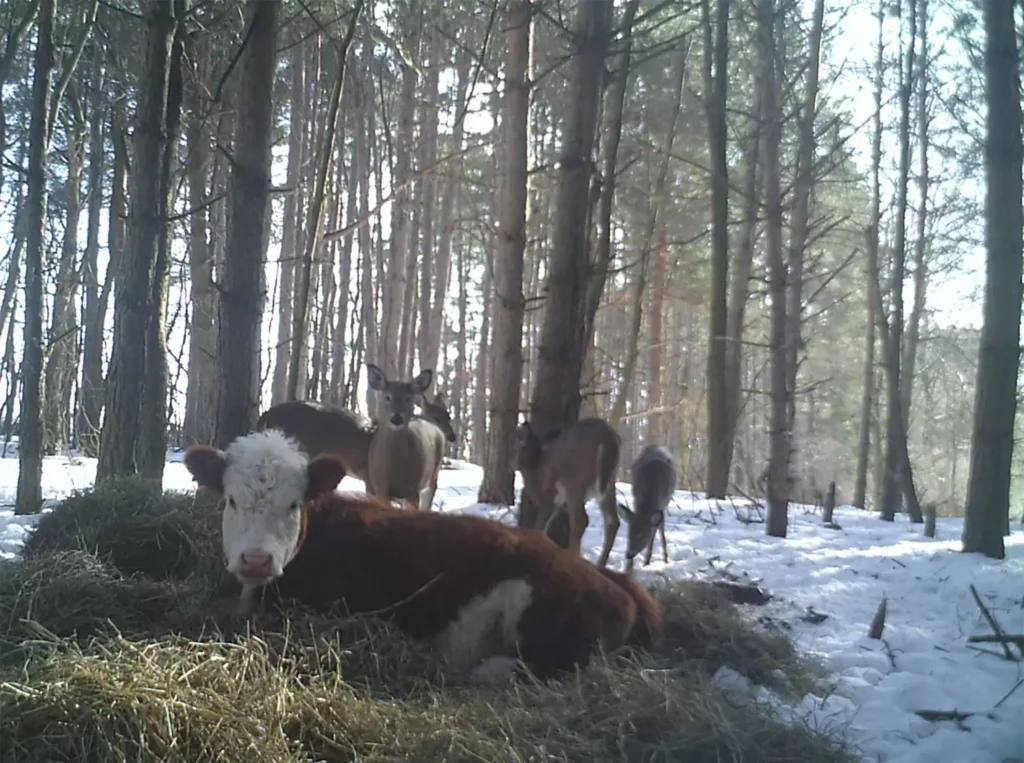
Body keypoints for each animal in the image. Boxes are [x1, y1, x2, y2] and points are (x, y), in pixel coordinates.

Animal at [368, 364, 448, 512]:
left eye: (408, 398)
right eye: (387, 397)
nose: (396, 418)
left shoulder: (413, 488)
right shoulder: (380, 487)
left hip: (432, 475)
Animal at [516, 415, 618, 565]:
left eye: (514, 447)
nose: (509, 465)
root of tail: (608, 436)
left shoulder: (548, 496)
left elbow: (540, 525)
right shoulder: (558, 504)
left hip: (575, 480)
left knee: (581, 520)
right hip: (609, 483)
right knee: (612, 521)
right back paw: (600, 565)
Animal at [618, 440, 675, 573]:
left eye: (643, 536)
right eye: (629, 534)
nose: (628, 554)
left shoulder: (662, 503)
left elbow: (655, 532)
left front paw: (647, 562)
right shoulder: (636, 498)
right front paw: (628, 567)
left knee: (660, 527)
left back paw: (665, 558)